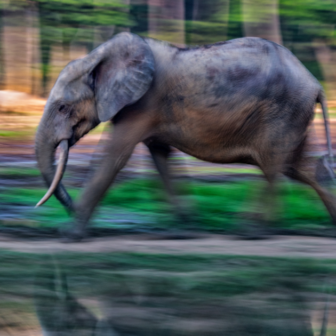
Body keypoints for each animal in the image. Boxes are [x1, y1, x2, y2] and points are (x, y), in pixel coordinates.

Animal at [35, 32, 334, 242]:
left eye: (63, 108)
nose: (69, 206)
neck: (97, 57)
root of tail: (316, 84)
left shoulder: (143, 104)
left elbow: (113, 157)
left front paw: (69, 235)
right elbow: (160, 155)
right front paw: (184, 230)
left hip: (283, 112)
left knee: (273, 166)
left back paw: (250, 231)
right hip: (293, 114)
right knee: (296, 166)